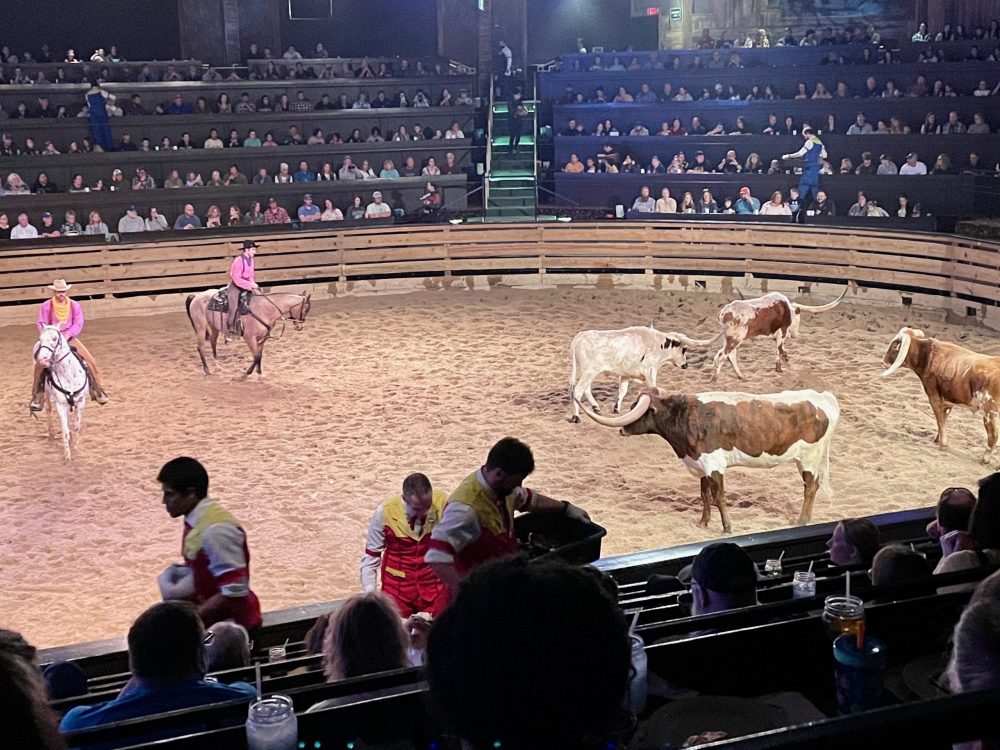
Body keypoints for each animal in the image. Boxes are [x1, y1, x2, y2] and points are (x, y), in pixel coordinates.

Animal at [34, 325, 88, 460]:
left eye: (55, 338)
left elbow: (76, 427)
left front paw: (76, 449)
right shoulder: (60, 404)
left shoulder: (81, 402)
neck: (68, 374)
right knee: (48, 410)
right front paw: (67, 457)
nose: (42, 359)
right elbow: (65, 431)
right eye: (40, 338)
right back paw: (51, 435)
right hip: (47, 395)